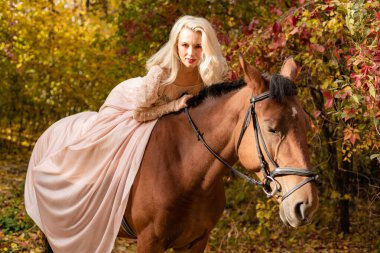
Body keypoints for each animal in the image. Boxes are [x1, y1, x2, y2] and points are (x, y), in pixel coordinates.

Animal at [116, 55, 320, 253]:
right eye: (272, 129)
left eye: (306, 124)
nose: (307, 205)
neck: (182, 169)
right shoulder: (149, 241)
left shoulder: (196, 241)